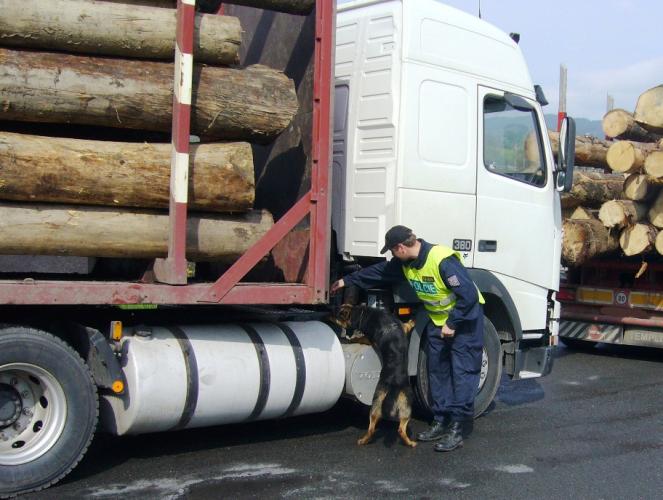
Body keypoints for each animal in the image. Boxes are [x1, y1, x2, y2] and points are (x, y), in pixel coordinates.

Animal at [334, 304, 418, 450]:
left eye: (339, 317)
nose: (332, 317)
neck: (366, 313)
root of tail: (392, 384)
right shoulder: (401, 328)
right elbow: (408, 324)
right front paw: (414, 320)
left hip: (383, 404)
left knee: (375, 428)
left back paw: (364, 440)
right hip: (407, 403)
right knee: (399, 429)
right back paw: (410, 443)